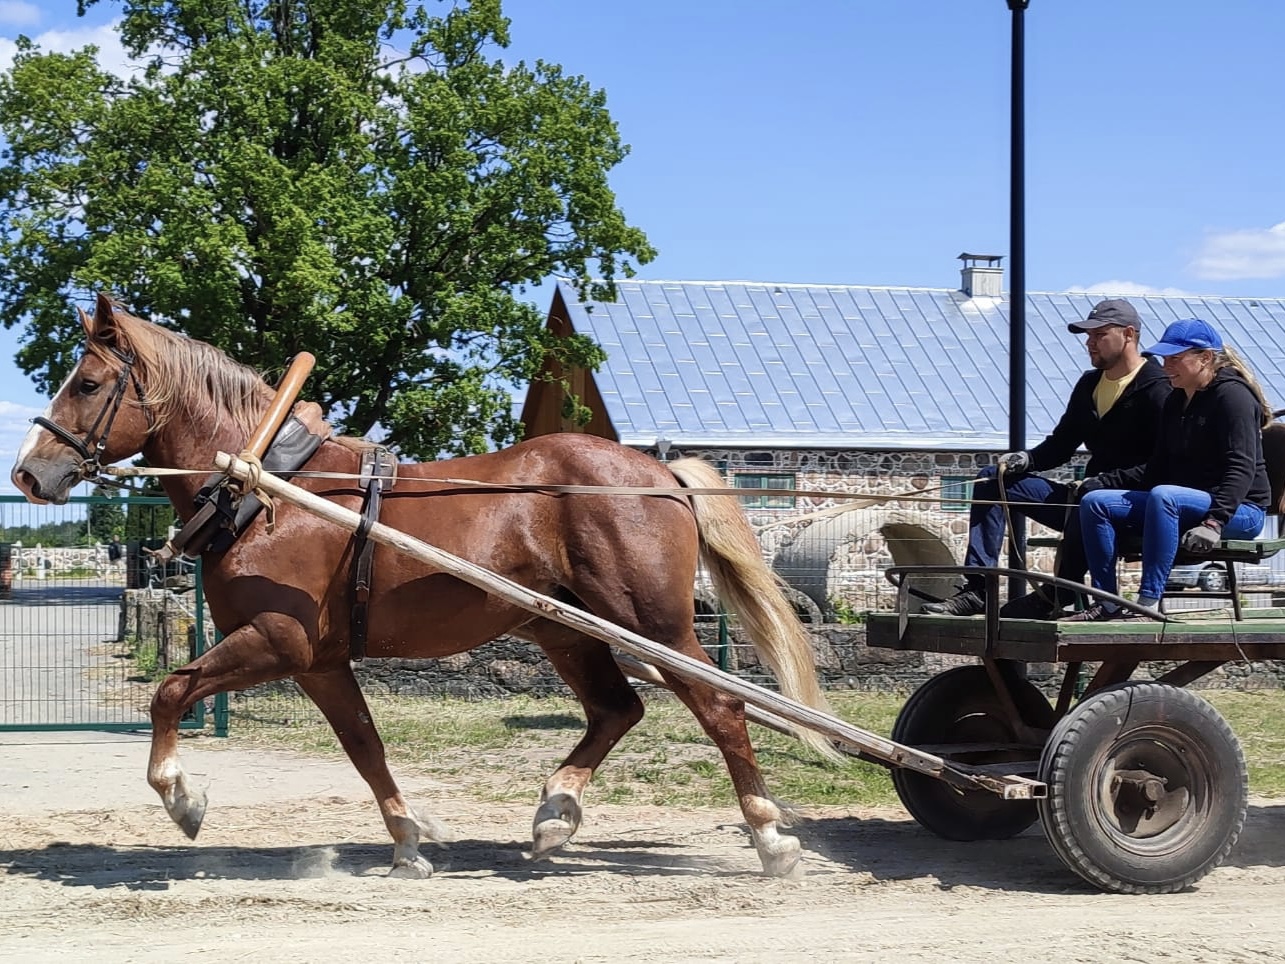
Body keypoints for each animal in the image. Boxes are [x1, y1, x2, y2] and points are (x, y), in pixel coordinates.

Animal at [15, 298, 837, 879]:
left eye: (88, 383)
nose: (27, 472)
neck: (266, 485)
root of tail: (658, 472)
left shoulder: (277, 642)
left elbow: (170, 691)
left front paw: (182, 798)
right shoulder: (320, 662)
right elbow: (365, 745)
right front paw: (408, 839)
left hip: (656, 626)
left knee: (721, 708)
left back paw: (769, 836)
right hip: (563, 628)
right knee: (617, 709)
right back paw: (556, 812)